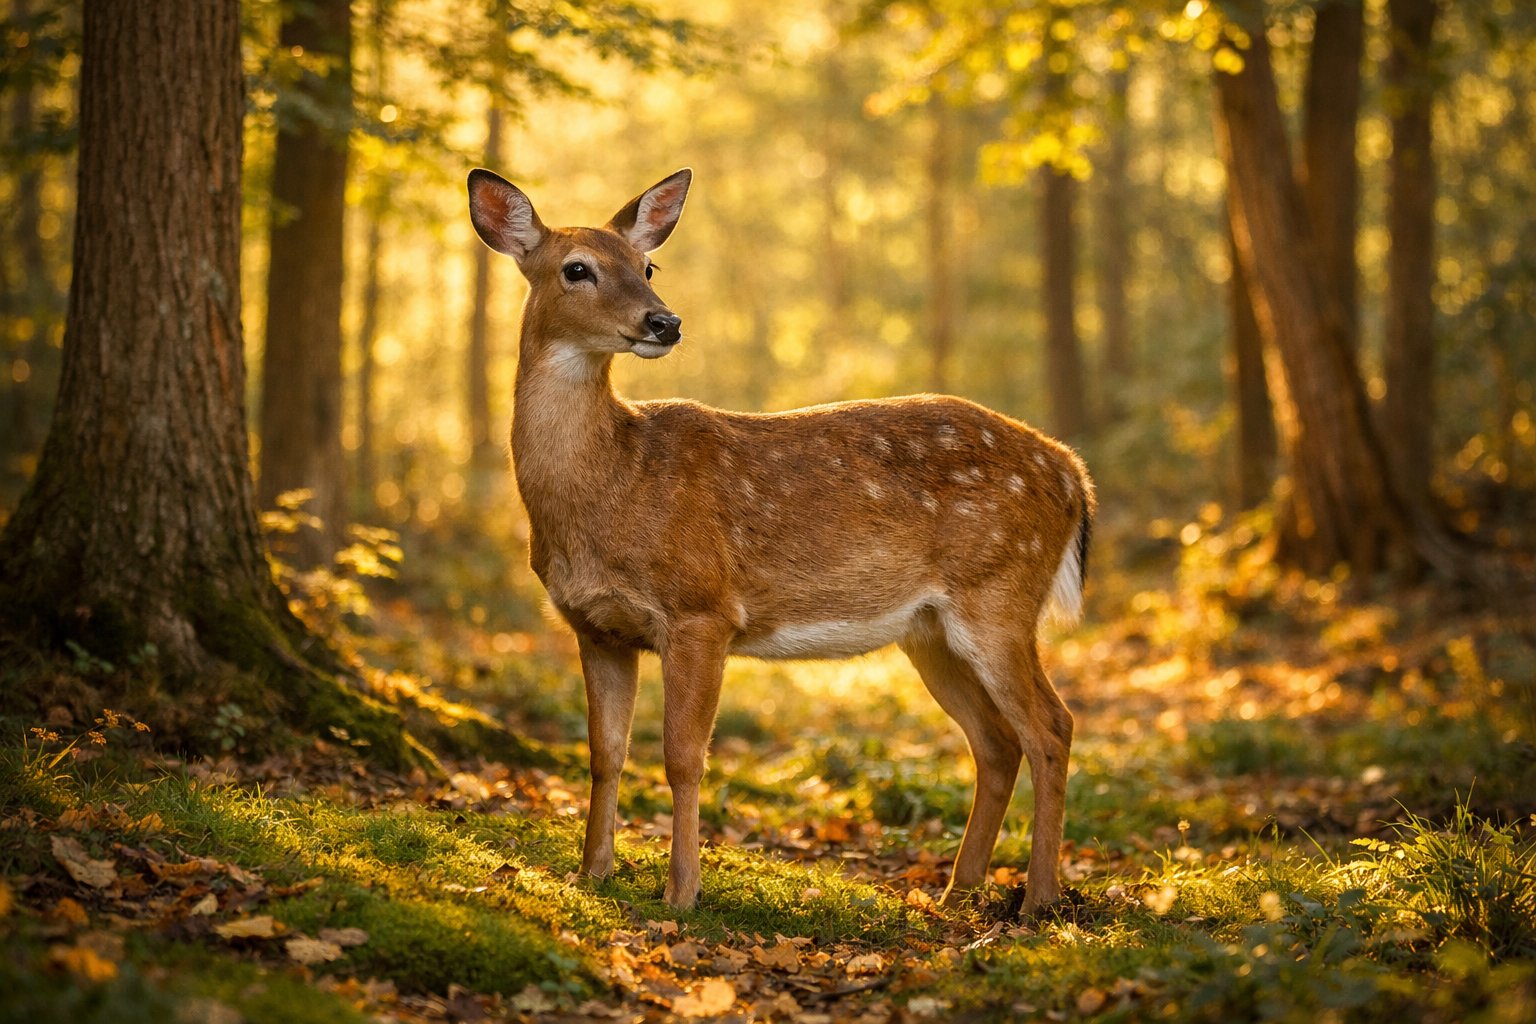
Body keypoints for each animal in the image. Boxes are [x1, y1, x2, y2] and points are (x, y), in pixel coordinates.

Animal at [466, 166, 1094, 912]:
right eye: (577, 268)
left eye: (647, 266)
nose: (664, 321)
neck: (611, 487)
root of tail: (1072, 471)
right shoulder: (597, 627)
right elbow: (604, 752)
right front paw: (592, 873)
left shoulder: (702, 608)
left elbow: (682, 756)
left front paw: (682, 893)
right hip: (931, 630)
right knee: (998, 742)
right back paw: (956, 892)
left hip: (999, 592)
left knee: (1052, 726)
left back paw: (1039, 899)